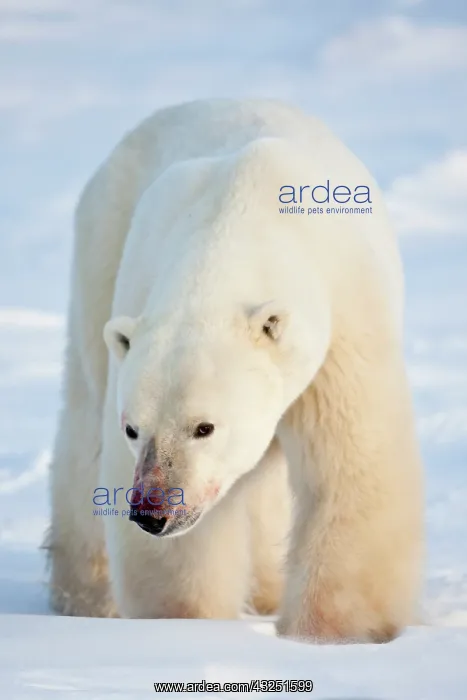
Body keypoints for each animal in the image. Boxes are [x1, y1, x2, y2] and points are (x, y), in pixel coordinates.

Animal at [46, 98, 423, 642]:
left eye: (204, 427)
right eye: (133, 429)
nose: (151, 512)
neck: (236, 216)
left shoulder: (342, 325)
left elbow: (350, 467)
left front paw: (330, 632)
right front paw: (184, 623)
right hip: (100, 254)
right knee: (83, 432)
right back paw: (88, 600)